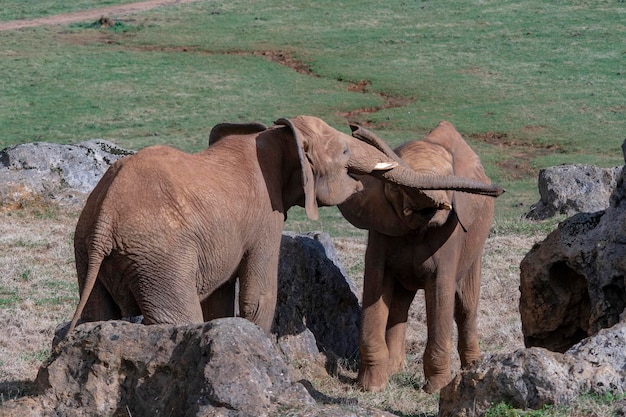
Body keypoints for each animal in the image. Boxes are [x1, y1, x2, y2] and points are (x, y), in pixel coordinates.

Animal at [66, 114, 502, 338]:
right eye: (346, 150)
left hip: (92, 252)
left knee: (98, 315)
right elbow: (258, 296)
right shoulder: (265, 216)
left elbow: (220, 298)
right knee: (174, 316)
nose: (357, 124)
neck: (275, 136)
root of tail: (104, 217)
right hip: (157, 255)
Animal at [338, 120, 500, 394]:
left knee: (466, 307)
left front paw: (436, 389)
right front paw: (371, 387)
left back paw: (472, 368)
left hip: (476, 248)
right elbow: (375, 286)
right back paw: (394, 370)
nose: (354, 127)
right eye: (395, 187)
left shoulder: (450, 237)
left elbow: (441, 292)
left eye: (448, 181)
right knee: (400, 303)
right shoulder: (379, 229)